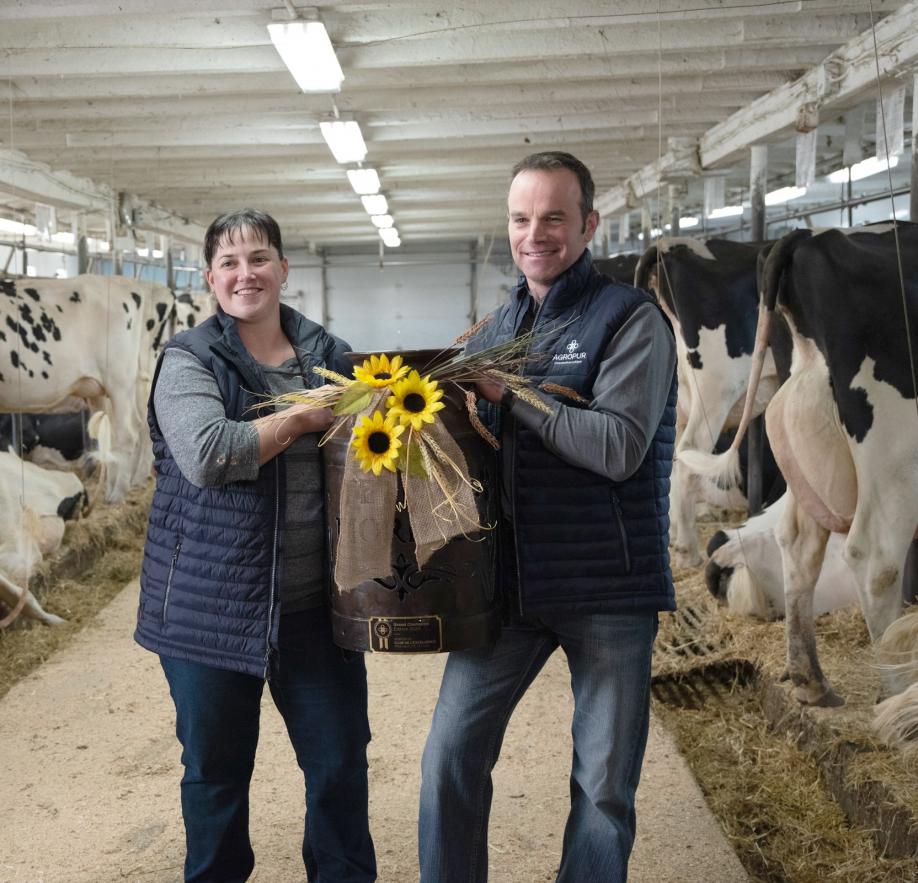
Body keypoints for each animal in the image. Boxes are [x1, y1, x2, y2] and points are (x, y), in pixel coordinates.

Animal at [684, 223, 918, 720]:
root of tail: (810, 237)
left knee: (796, 542)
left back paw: (811, 681)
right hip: (895, 451)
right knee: (876, 560)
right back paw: (893, 692)